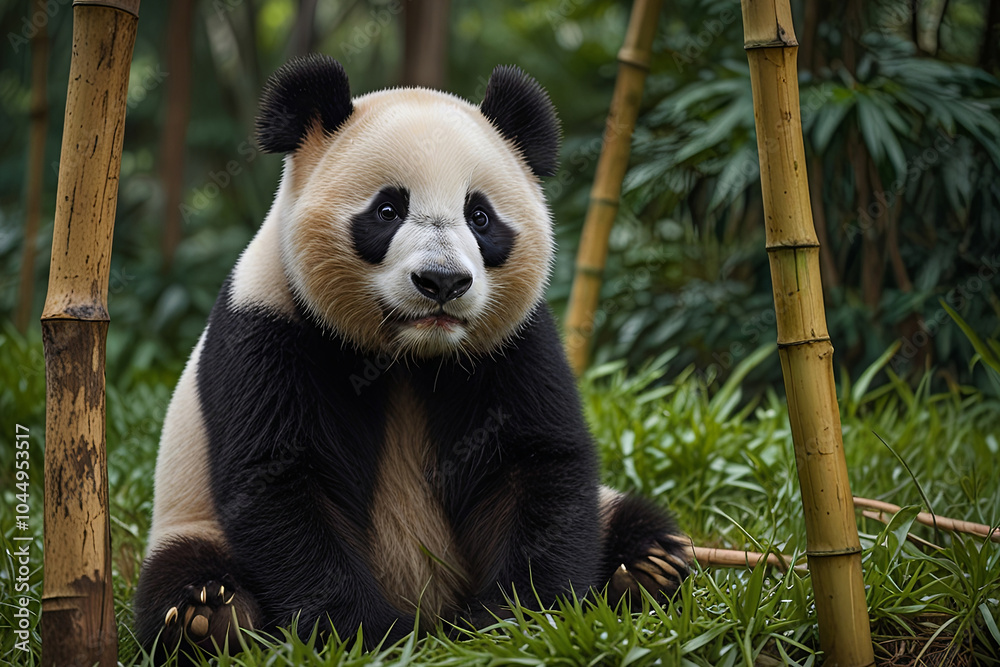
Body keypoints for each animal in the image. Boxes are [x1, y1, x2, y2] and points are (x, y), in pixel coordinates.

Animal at [134, 54, 690, 662]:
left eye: (480, 216)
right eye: (387, 210)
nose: (442, 282)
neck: (409, 354)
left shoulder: (513, 343)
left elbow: (537, 464)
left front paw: (514, 623)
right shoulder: (270, 328)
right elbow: (282, 482)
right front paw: (370, 635)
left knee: (627, 517)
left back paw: (646, 568)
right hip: (189, 518)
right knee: (182, 575)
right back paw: (213, 616)